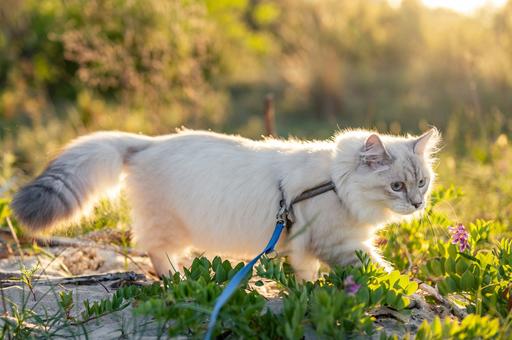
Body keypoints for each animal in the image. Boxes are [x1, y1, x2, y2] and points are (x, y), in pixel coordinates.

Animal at [11, 129, 440, 280]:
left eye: (422, 182)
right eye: (396, 186)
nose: (417, 204)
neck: (334, 183)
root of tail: (147, 142)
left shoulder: (306, 247)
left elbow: (307, 277)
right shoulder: (339, 243)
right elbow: (381, 270)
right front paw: (408, 291)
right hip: (170, 225)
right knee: (155, 251)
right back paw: (175, 280)